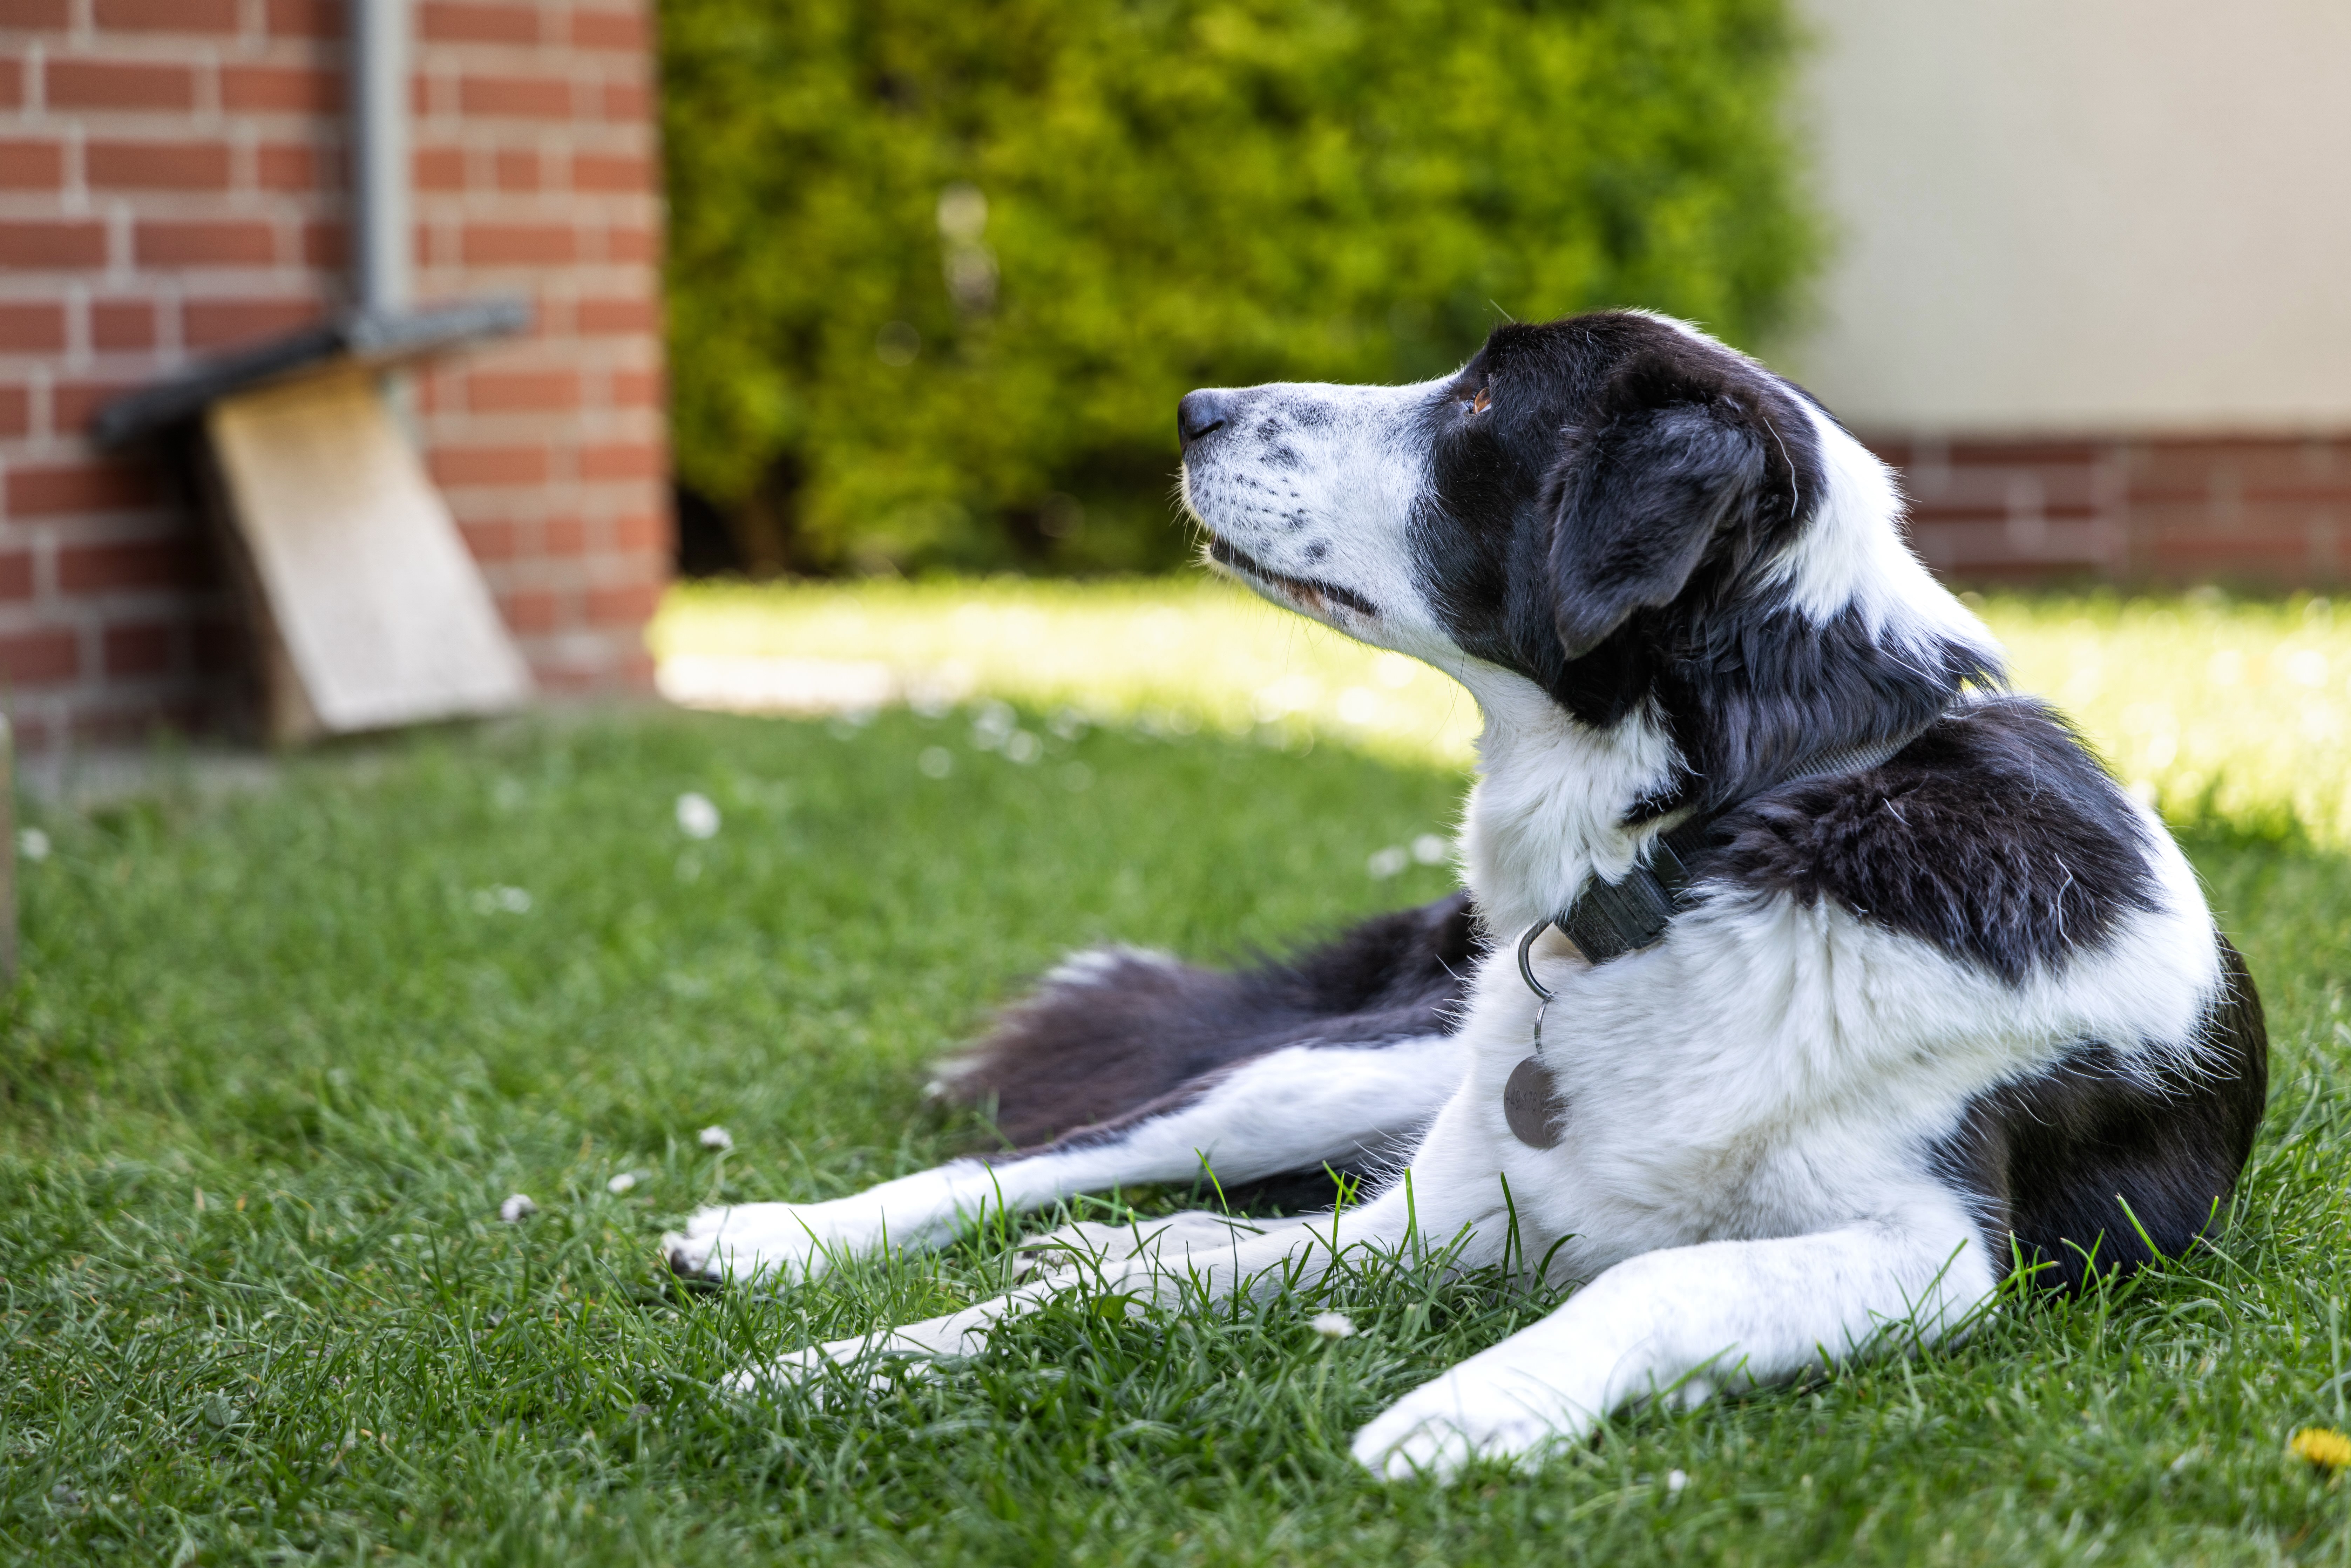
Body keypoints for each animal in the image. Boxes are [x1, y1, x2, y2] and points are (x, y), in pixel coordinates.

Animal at [667, 309, 2267, 1479]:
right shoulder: (1455, 1202)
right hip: (1347, 1067)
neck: (1723, 833)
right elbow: (1062, 1297)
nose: (1192, 405)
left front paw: (1470, 1402)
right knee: (1075, 1157)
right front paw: (829, 1363)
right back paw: (777, 1236)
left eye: (1485, 403)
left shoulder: (1929, 1248)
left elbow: (1654, 1278)